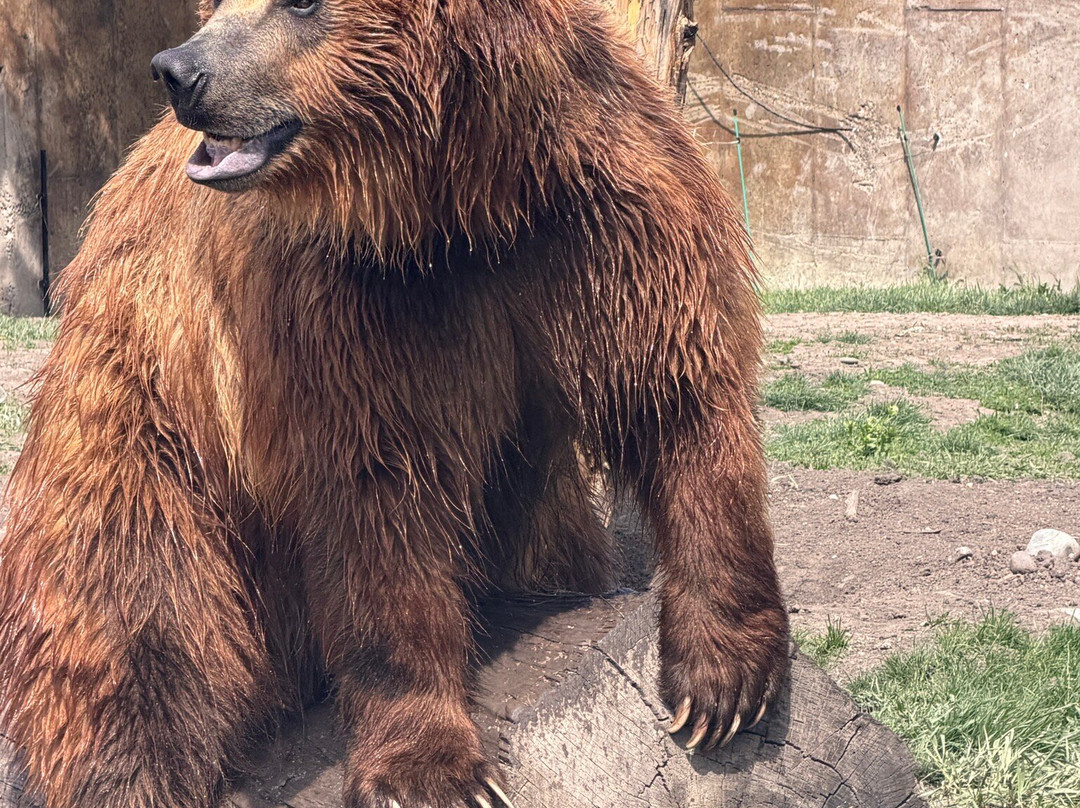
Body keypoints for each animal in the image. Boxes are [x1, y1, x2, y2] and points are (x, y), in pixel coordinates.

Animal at [0, 0, 788, 805]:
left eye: (301, 4)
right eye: (217, 3)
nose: (178, 71)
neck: (458, 201)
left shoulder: (601, 222)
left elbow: (682, 400)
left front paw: (722, 683)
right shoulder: (347, 306)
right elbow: (380, 503)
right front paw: (432, 768)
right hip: (143, 403)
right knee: (131, 585)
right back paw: (127, 769)